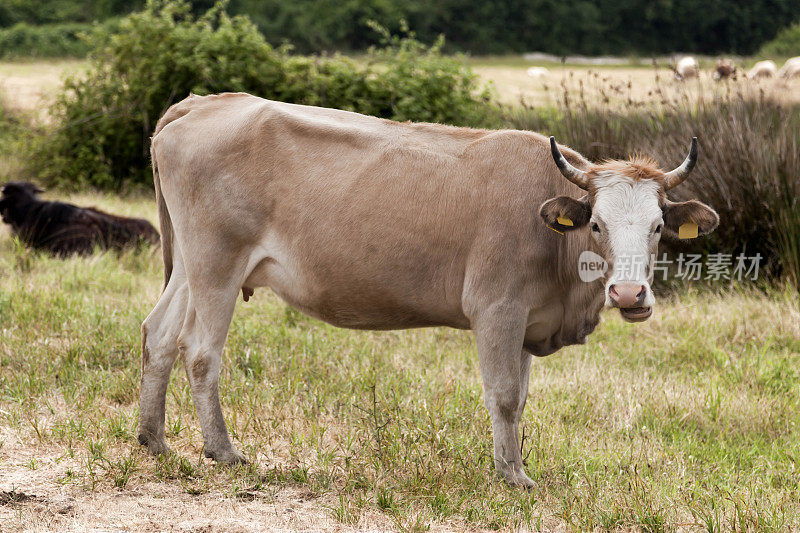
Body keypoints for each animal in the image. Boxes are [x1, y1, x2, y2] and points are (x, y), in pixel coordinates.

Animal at [139, 92, 720, 486]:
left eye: (658, 226)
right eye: (596, 224)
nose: (628, 294)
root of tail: (203, 102)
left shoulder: (527, 318)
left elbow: (520, 398)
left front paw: (513, 465)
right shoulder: (497, 308)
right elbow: (503, 394)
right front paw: (512, 478)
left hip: (190, 264)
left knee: (159, 335)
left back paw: (154, 439)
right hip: (217, 261)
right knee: (200, 350)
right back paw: (223, 450)